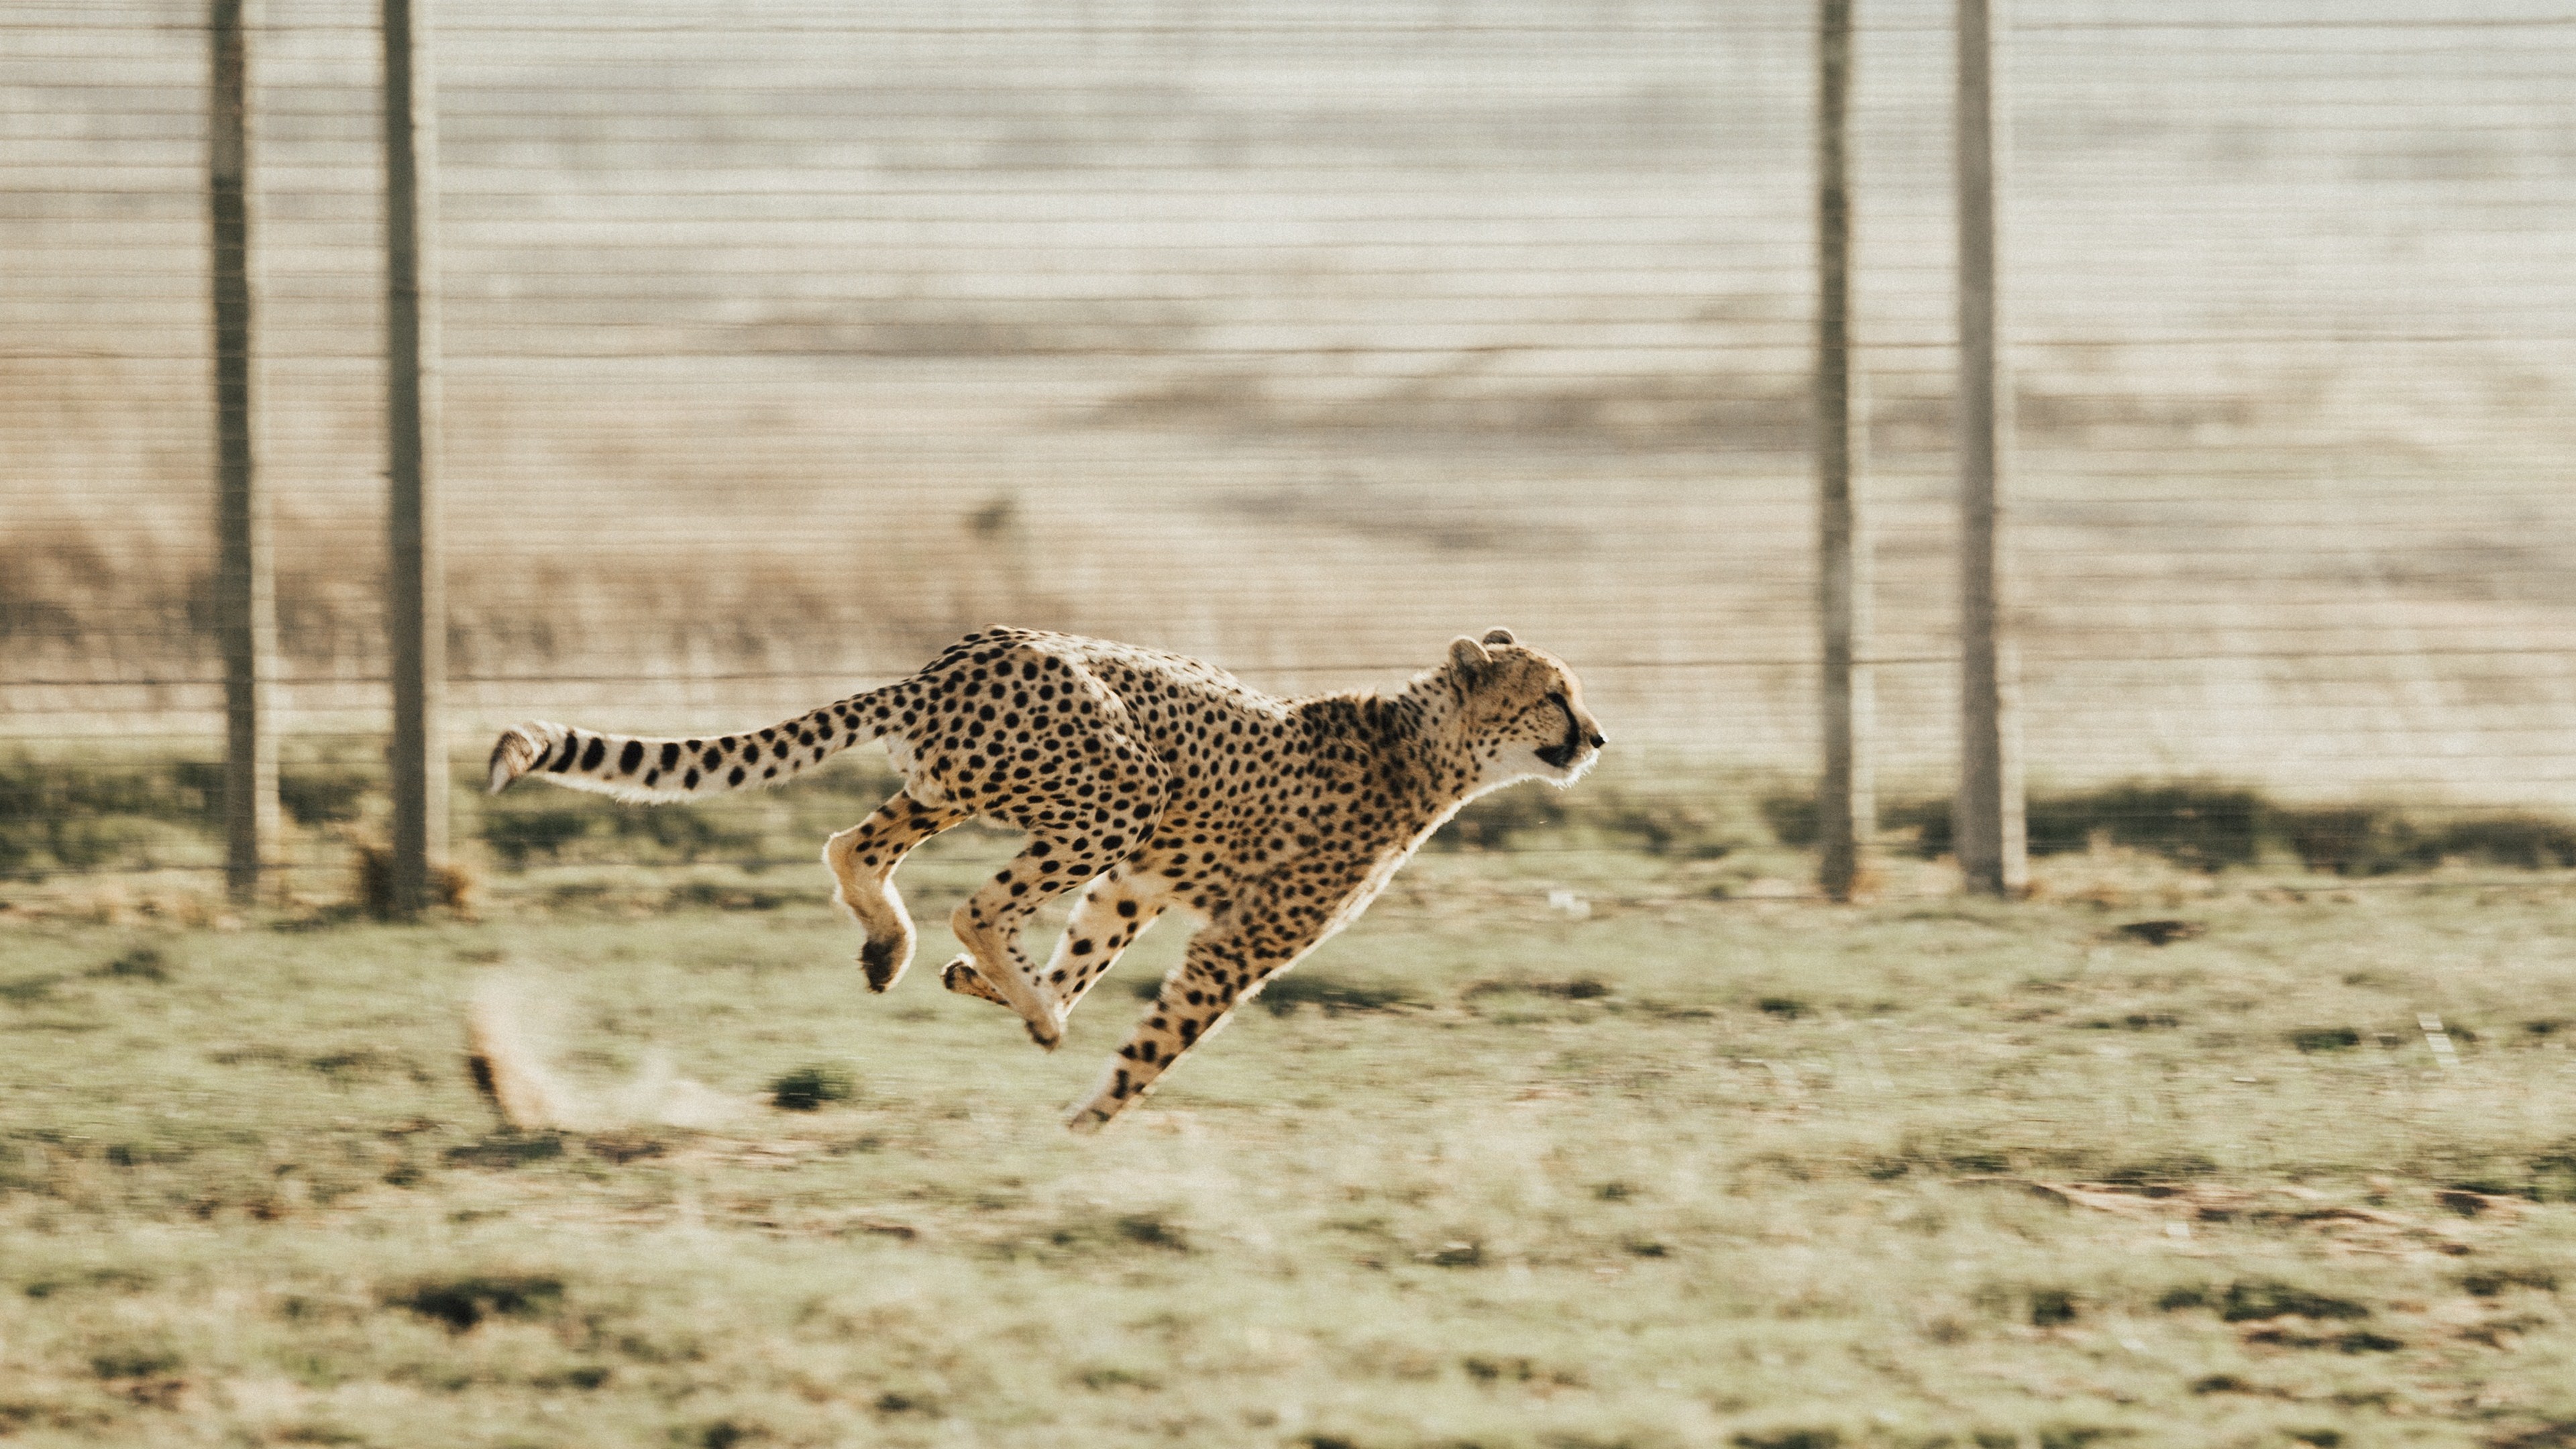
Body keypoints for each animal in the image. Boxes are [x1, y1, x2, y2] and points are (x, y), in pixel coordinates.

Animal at [486, 626, 1605, 1131]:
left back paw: (902, 952)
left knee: (857, 846)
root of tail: (956, 657)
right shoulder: (1237, 938)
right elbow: (1160, 1038)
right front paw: (1086, 1122)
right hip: (1121, 785)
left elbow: (1090, 952)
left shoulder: (1139, 883)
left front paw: (1007, 997)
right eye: (1554, 695)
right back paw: (1008, 993)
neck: (1424, 744)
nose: (1596, 736)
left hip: (961, 787)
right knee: (973, 901)